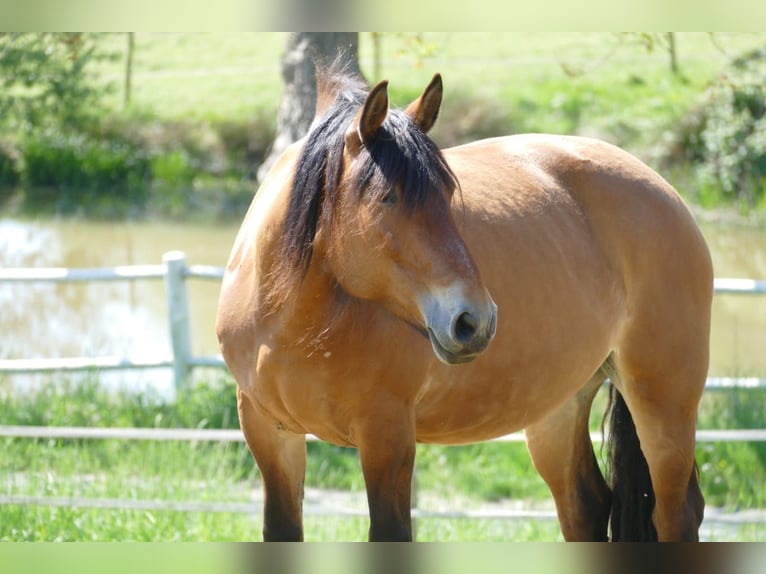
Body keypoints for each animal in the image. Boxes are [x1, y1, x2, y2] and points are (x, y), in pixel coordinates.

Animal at [214, 67, 712, 544]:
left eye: (449, 196)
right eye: (387, 196)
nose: (475, 320)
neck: (294, 324)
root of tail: (662, 190)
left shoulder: (387, 437)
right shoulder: (268, 433)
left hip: (663, 402)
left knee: (676, 512)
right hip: (557, 409)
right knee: (586, 506)